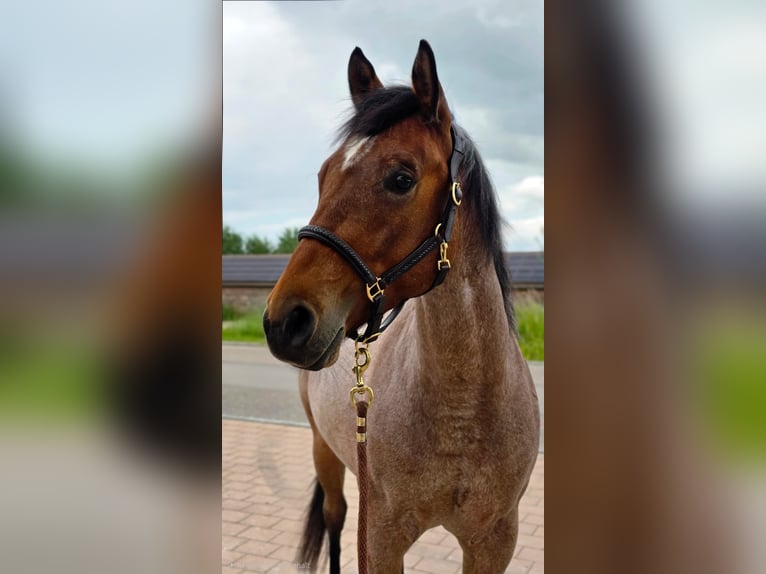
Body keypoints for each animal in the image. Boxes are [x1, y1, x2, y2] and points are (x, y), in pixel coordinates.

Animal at [263, 40, 539, 574]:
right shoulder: (382, 537)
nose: (284, 322)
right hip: (325, 454)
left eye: (400, 178)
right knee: (334, 519)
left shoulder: (494, 541)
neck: (462, 413)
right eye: (323, 175)